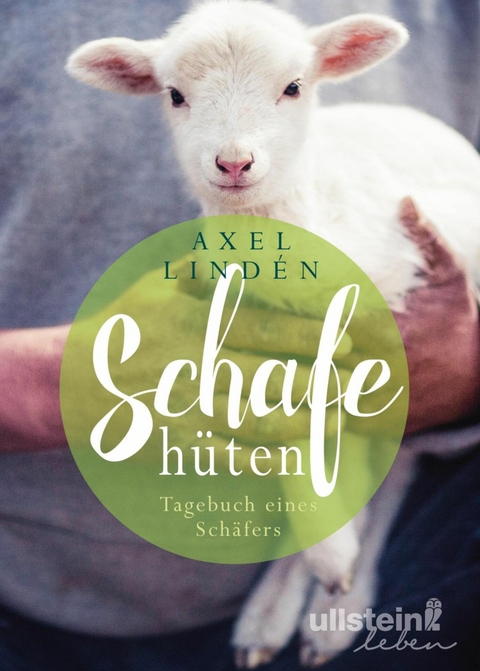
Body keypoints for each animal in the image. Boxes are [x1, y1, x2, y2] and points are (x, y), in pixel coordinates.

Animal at [66, 0, 480, 667]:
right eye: (174, 95)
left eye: (294, 87)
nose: (233, 162)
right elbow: (293, 433)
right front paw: (325, 553)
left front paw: (333, 569)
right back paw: (282, 613)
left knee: (401, 460)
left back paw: (327, 613)